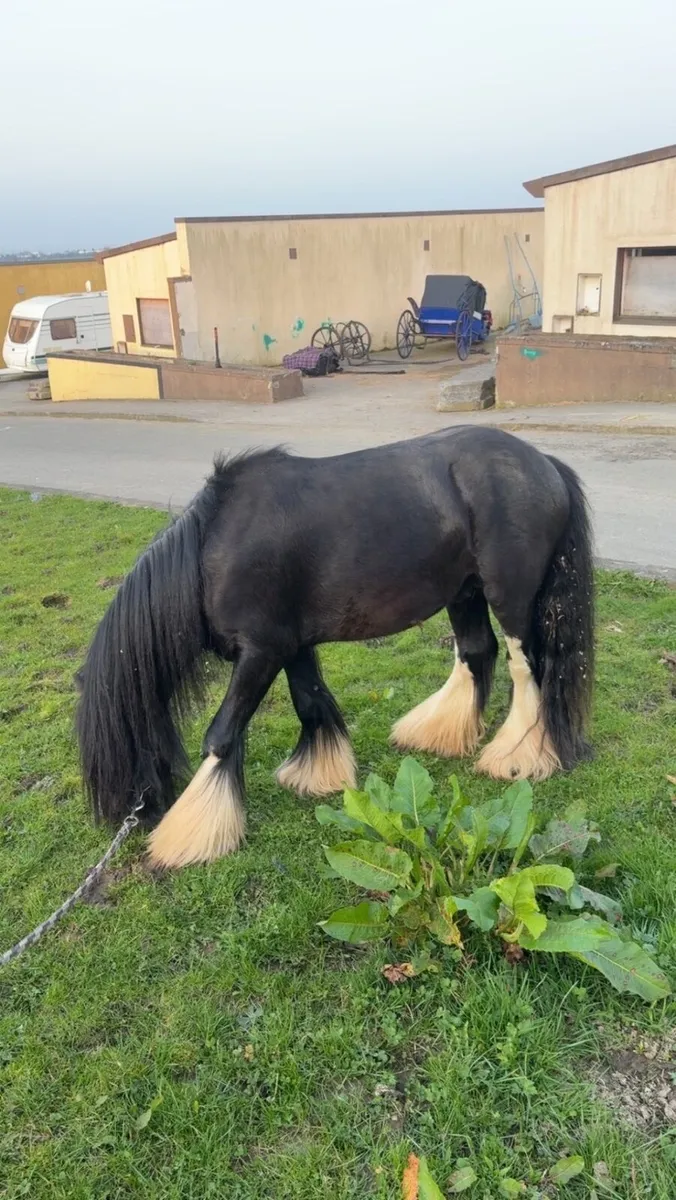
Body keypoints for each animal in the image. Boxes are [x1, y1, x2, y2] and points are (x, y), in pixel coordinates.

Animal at [75, 427, 594, 870]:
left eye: (114, 746)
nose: (127, 814)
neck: (214, 551)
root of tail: (543, 463)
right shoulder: (291, 646)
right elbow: (311, 704)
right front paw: (318, 774)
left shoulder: (261, 652)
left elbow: (221, 734)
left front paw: (189, 833)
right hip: (464, 591)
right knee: (475, 651)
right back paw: (439, 733)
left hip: (510, 598)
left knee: (526, 666)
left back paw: (516, 758)